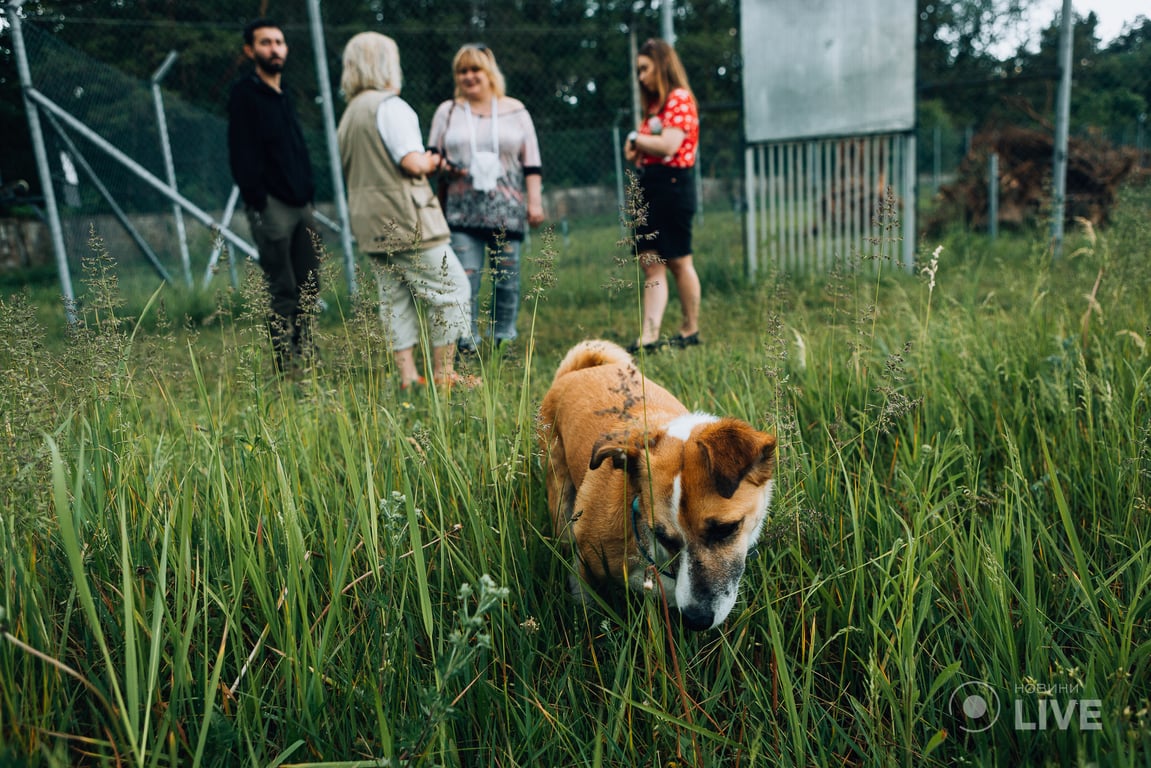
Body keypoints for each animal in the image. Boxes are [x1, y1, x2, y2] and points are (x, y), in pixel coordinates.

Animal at [536, 340, 773, 630]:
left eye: (725, 529)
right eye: (663, 536)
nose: (696, 620)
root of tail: (579, 369)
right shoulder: (587, 561)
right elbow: (585, 601)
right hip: (559, 496)